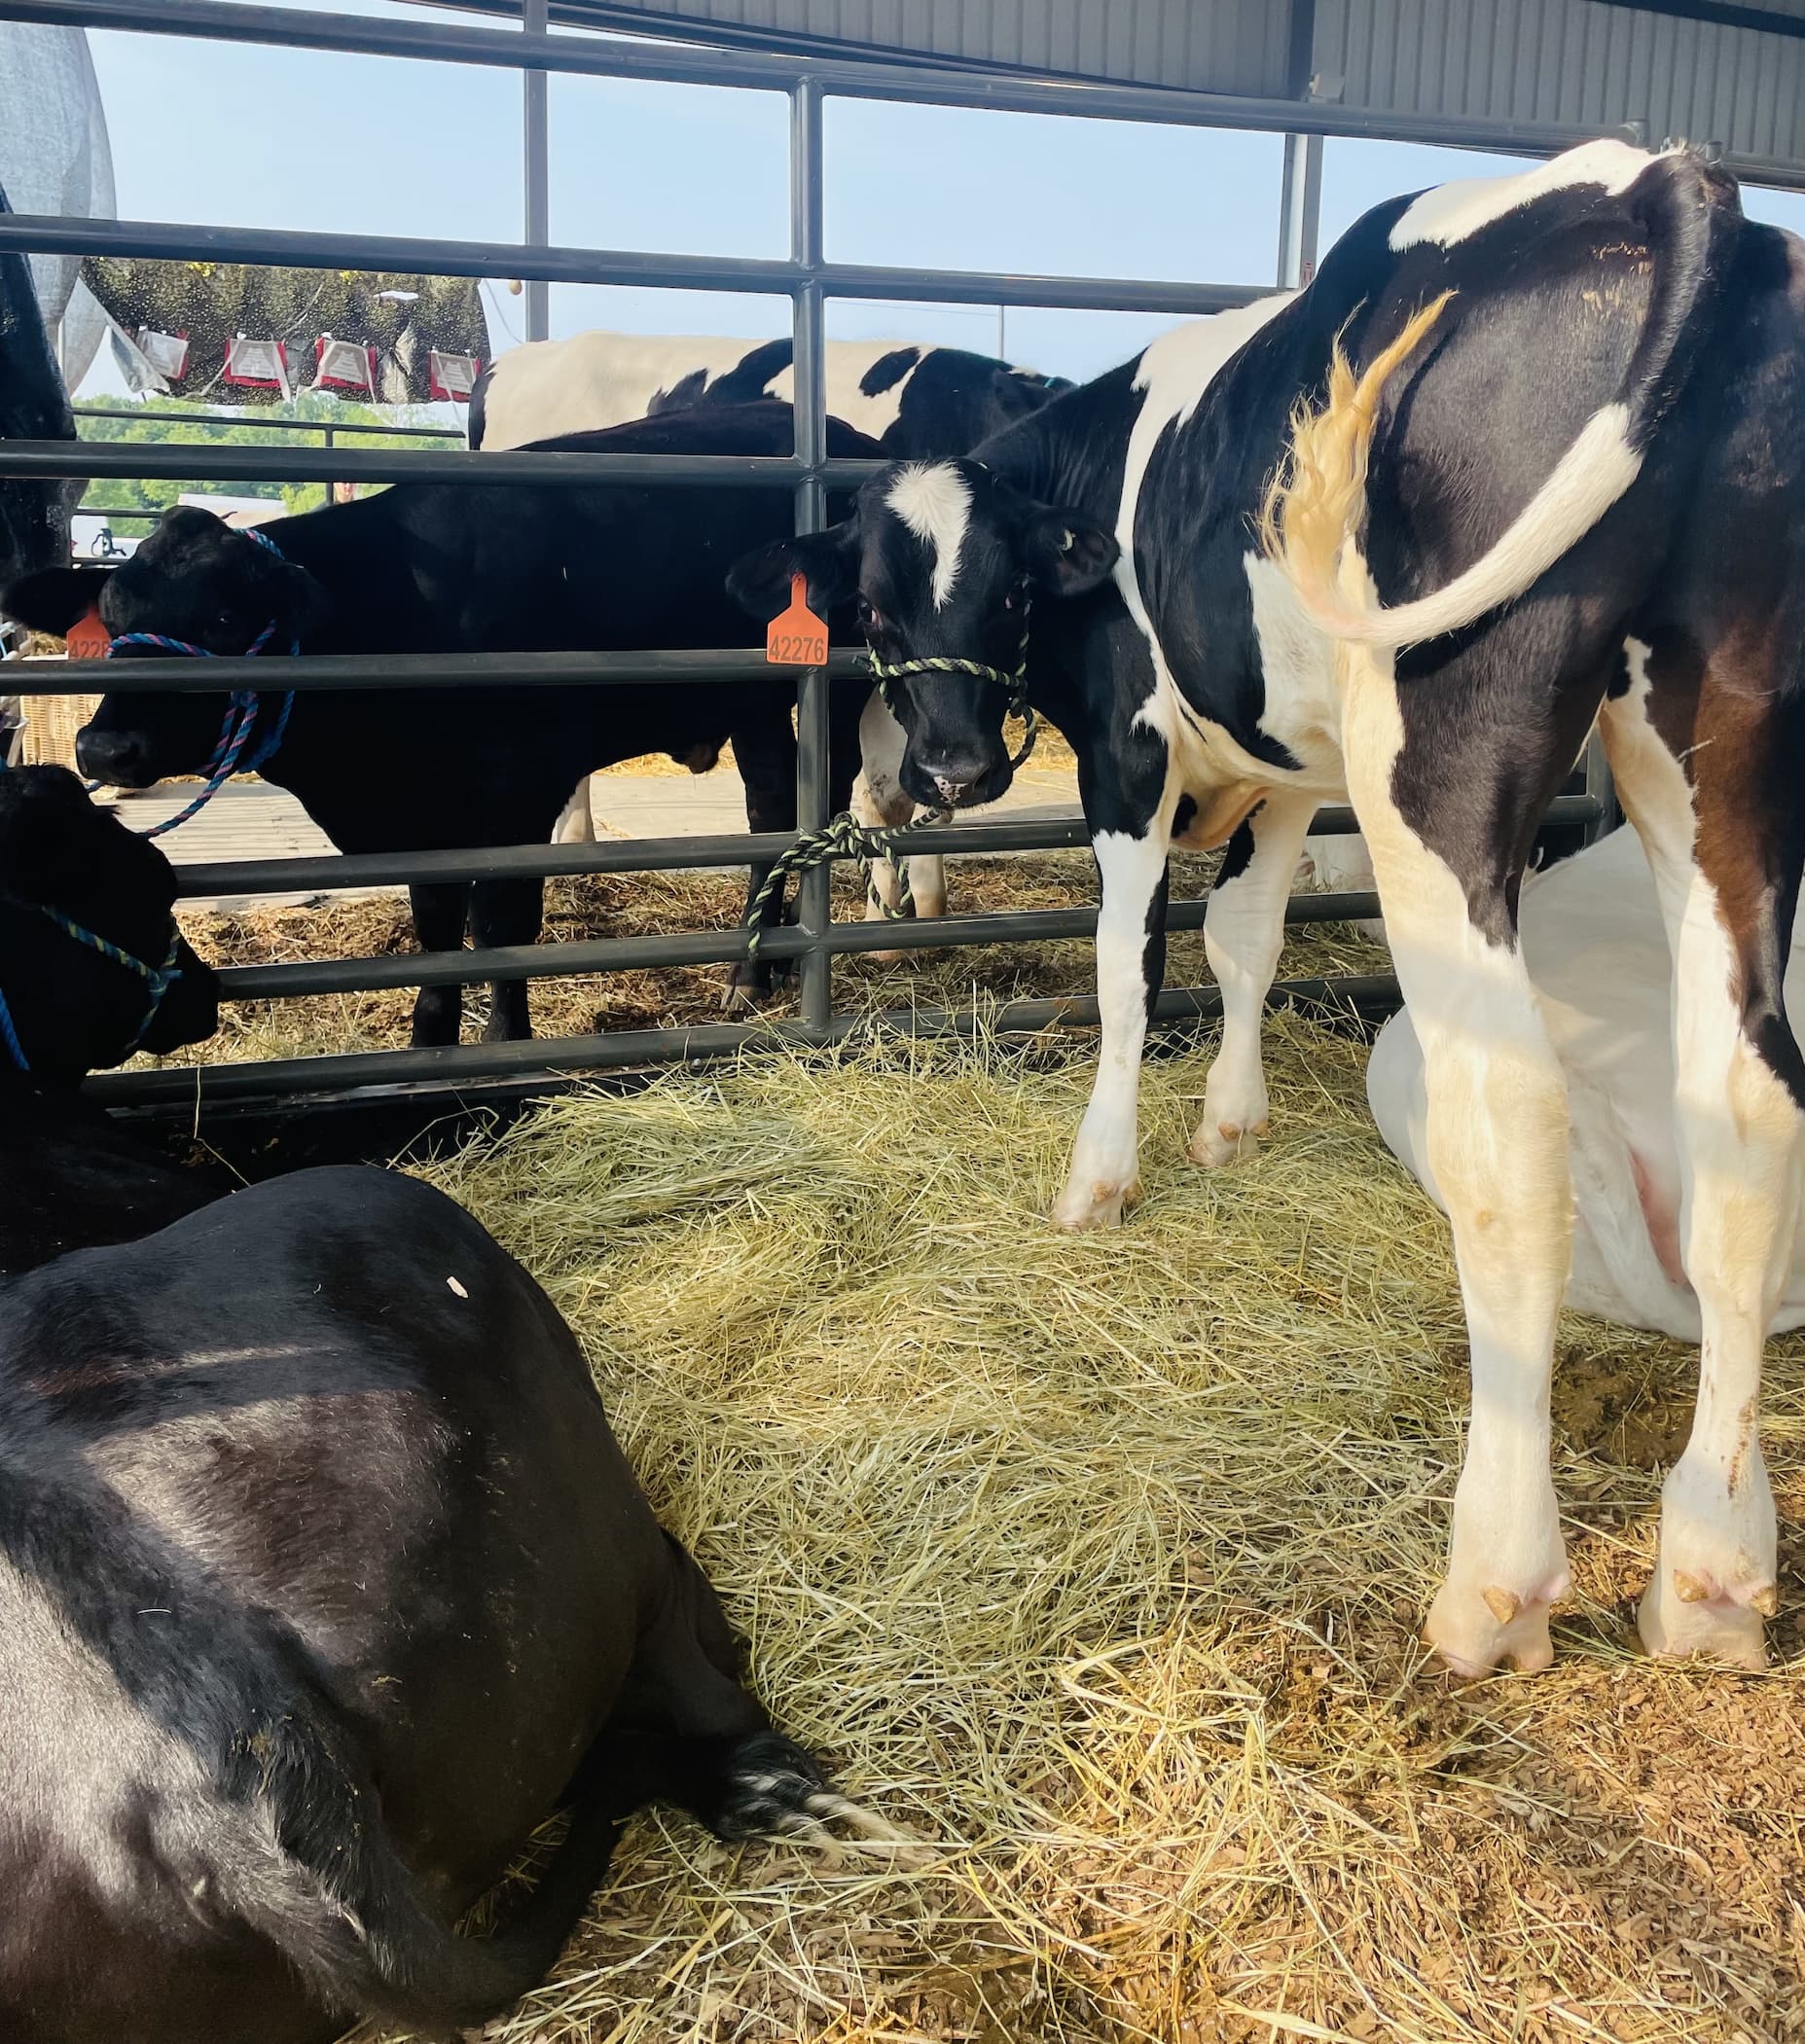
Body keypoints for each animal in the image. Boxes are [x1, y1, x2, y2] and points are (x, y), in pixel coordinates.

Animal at [0, 402, 888, 1045]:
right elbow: (434, 925)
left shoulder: (520, 786)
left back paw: (756, 970)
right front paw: (430, 1040)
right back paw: (761, 965)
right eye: (113, 621)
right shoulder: (421, 818)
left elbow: (498, 925)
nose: (103, 745)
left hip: (832, 693)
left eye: (222, 619)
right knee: (771, 808)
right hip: (753, 705)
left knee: (811, 797)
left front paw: (505, 1044)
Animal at [729, 141, 1805, 1679]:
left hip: (1439, 751)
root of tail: (1648, 176)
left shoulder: (1127, 753)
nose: (953, 769)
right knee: (1744, 1109)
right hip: (1721, 743)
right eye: (875, 606)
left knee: (1505, 1120)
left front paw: (1100, 1176)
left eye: (1002, 591)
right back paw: (1712, 1568)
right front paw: (1229, 1124)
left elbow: (1128, 969)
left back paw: (1493, 1583)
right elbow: (1242, 943)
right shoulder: (1287, 770)